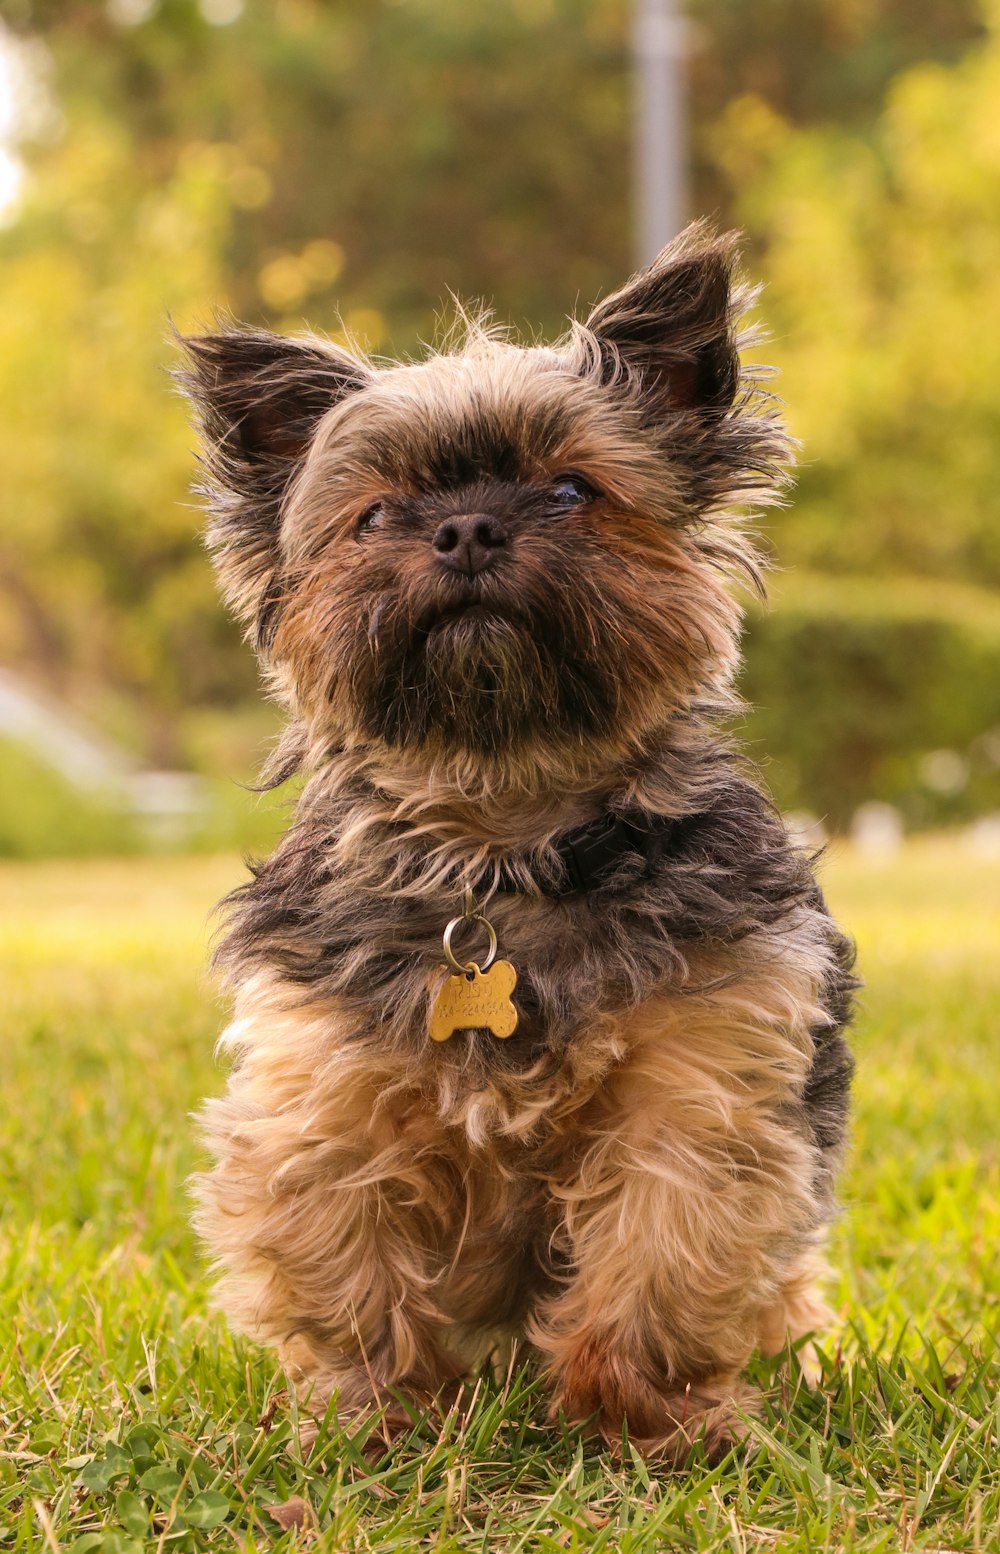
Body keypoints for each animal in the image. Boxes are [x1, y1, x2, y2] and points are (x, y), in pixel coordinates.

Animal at [179, 222, 850, 1466]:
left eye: (571, 489)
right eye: (377, 514)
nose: (468, 527)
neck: (502, 844)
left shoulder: (700, 1079)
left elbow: (665, 1249)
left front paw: (643, 1417)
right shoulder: (325, 1086)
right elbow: (344, 1256)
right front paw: (377, 1417)